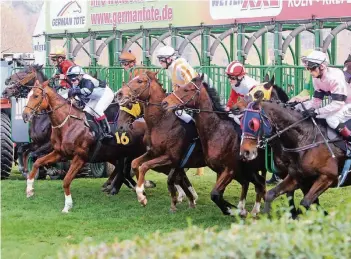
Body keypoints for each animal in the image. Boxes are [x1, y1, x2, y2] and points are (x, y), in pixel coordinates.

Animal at [162, 74, 266, 216]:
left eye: (186, 89)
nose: (164, 103)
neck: (217, 131)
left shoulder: (230, 169)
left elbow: (215, 194)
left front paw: (232, 209)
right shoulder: (220, 169)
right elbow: (218, 195)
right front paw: (234, 209)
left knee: (260, 184)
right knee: (258, 184)